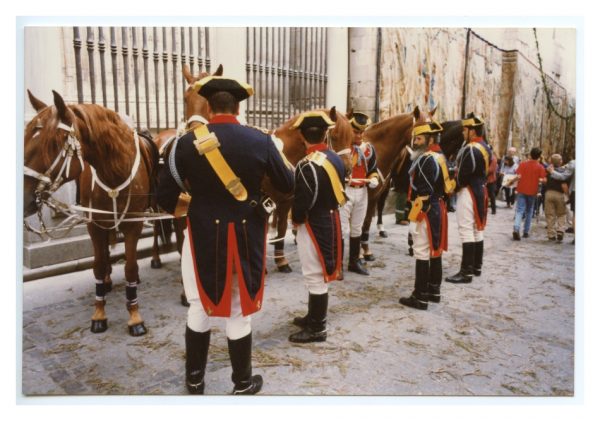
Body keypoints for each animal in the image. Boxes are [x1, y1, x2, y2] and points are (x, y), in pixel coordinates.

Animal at [24, 89, 158, 334]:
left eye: (53, 143)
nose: (25, 197)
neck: (113, 169)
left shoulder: (134, 224)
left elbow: (130, 267)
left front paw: (134, 316)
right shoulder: (94, 225)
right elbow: (98, 265)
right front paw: (99, 313)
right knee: (103, 254)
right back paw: (106, 282)